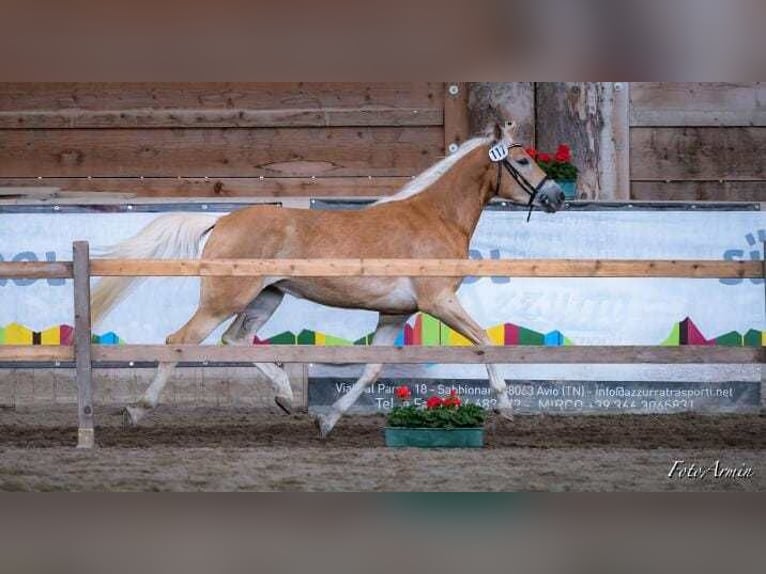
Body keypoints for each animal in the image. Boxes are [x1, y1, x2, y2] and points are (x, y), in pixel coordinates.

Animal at [93, 121, 568, 436]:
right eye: (522, 160)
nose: (557, 197)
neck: (434, 216)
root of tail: (224, 220)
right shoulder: (438, 301)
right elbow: (485, 343)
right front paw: (505, 407)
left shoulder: (395, 313)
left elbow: (373, 367)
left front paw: (327, 418)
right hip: (223, 300)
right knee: (179, 341)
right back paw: (137, 410)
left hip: (266, 298)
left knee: (235, 340)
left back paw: (286, 397)